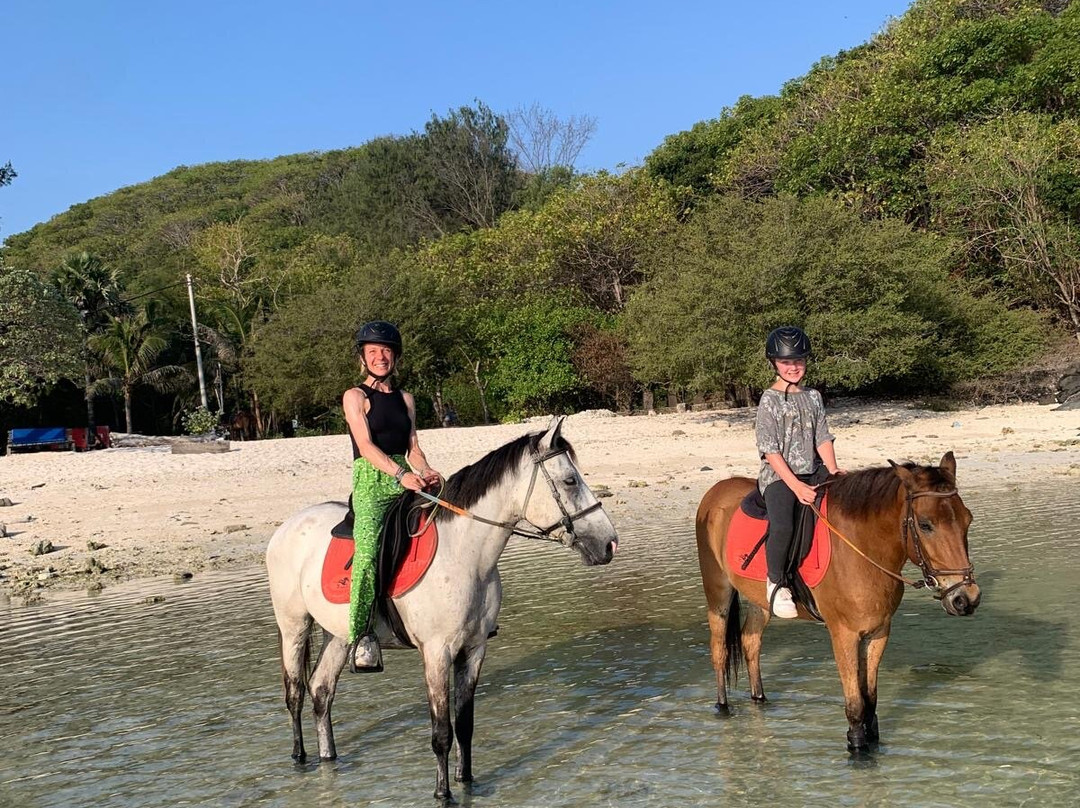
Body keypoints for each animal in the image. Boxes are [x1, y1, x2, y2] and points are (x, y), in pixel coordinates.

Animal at [266, 417, 618, 801]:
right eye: (570, 481)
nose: (609, 542)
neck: (465, 553)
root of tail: (287, 526)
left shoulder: (474, 649)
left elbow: (464, 725)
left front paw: (468, 783)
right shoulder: (437, 653)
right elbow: (441, 733)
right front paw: (442, 793)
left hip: (340, 636)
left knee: (321, 691)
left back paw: (329, 761)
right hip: (294, 627)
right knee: (296, 694)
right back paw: (299, 759)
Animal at [695, 452, 980, 752]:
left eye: (968, 520)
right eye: (926, 525)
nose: (966, 598)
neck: (862, 548)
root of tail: (716, 490)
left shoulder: (878, 632)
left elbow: (870, 698)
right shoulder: (844, 634)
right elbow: (855, 703)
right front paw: (857, 745)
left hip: (759, 603)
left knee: (751, 642)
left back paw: (760, 701)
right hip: (718, 593)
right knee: (719, 651)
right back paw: (722, 707)